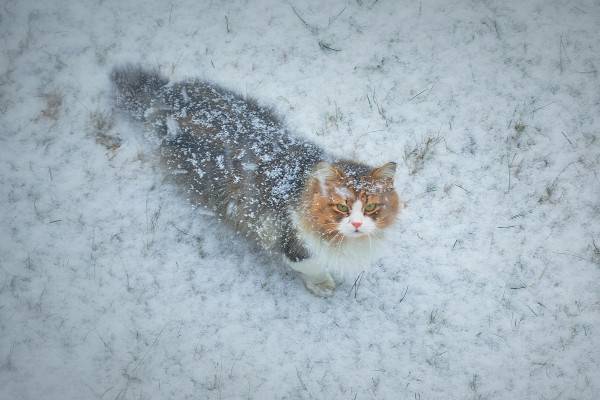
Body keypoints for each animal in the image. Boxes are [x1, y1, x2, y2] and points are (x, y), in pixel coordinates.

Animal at [112, 65, 404, 296]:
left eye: (370, 207)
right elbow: (310, 266)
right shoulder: (291, 241)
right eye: (341, 207)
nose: (357, 224)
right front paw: (321, 285)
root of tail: (166, 92)